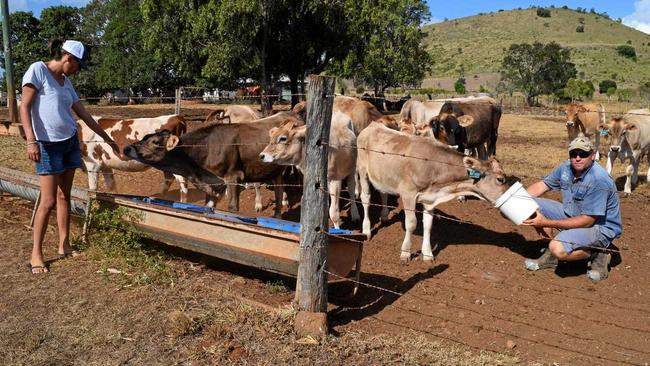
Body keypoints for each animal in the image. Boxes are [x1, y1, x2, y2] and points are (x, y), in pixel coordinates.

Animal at [354, 123, 506, 264]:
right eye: (500, 179)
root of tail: (373, 125)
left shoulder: (430, 199)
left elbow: (428, 225)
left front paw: (427, 254)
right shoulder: (408, 193)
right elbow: (411, 223)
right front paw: (405, 252)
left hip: (383, 176)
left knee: (383, 193)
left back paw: (384, 216)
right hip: (362, 170)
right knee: (366, 198)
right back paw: (366, 230)